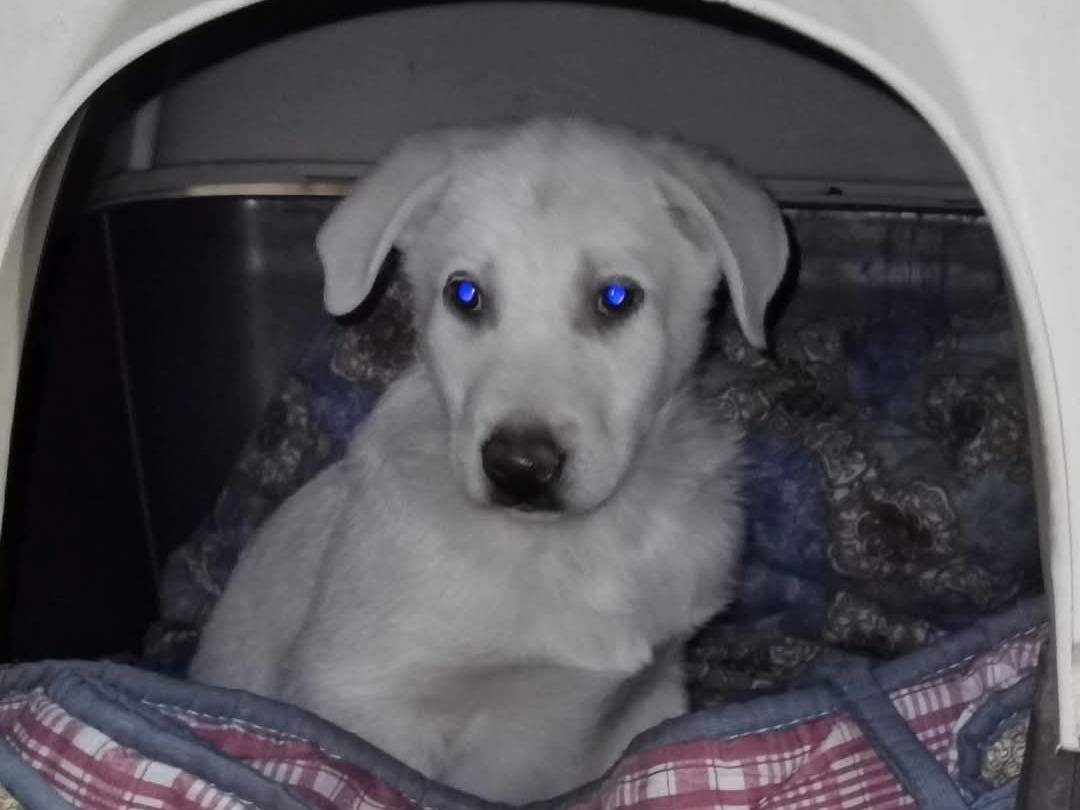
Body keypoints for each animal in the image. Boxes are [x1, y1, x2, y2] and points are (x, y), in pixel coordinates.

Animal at [190, 118, 788, 803]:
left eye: (616, 297)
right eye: (465, 294)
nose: (519, 468)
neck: (569, 549)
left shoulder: (652, 697)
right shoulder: (362, 700)